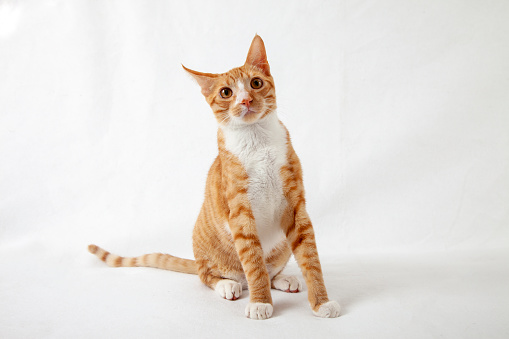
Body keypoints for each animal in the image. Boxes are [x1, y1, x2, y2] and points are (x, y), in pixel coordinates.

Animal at [89, 35, 340, 322]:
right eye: (226, 93)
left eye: (256, 83)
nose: (245, 100)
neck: (257, 142)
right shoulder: (240, 213)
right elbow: (253, 263)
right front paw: (260, 302)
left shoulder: (296, 207)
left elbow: (310, 260)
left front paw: (321, 302)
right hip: (207, 254)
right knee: (210, 275)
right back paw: (228, 284)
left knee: (269, 270)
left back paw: (282, 279)